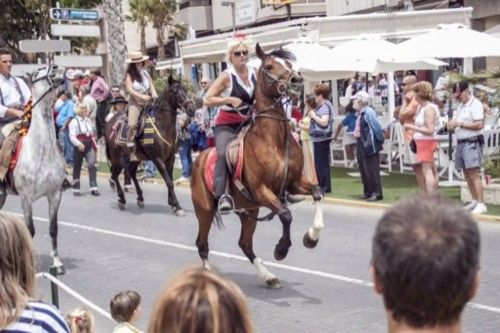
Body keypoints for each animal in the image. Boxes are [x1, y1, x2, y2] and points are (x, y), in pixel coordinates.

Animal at [0, 65, 66, 272]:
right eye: (37, 72)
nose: (57, 68)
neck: (40, 150)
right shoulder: (26, 198)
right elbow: (30, 230)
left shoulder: (55, 194)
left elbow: (53, 229)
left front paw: (57, 263)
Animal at [105, 76, 193, 214]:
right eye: (174, 91)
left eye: (184, 89)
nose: (191, 109)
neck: (162, 125)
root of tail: (110, 123)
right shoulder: (157, 159)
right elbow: (169, 181)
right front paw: (177, 205)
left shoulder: (171, 158)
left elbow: (170, 179)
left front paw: (172, 203)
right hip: (116, 157)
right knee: (115, 173)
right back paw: (122, 199)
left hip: (136, 157)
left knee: (131, 172)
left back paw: (140, 197)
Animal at [190, 43, 324, 288]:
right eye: (269, 66)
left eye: (288, 64)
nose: (296, 81)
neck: (273, 139)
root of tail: (199, 158)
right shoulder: (261, 189)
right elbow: (286, 214)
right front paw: (281, 249)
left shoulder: (292, 182)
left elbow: (317, 192)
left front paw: (311, 237)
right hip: (205, 211)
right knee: (202, 244)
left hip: (248, 210)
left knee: (245, 244)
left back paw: (269, 276)